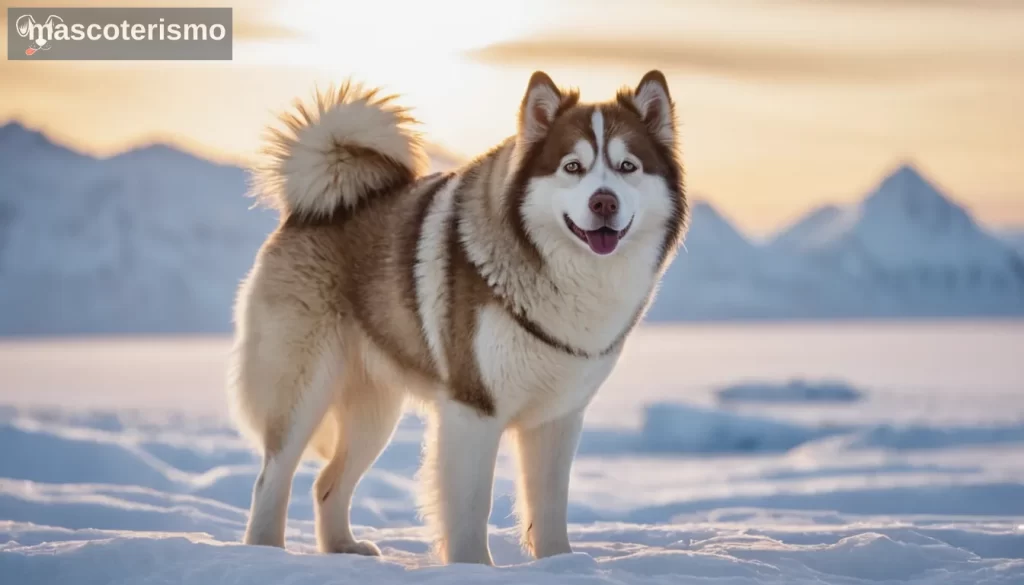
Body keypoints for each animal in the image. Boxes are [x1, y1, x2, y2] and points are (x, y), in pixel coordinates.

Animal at [230, 69, 688, 569]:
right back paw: (265, 554)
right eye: (572, 167)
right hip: (303, 386)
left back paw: (344, 549)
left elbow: (549, 503)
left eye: (628, 166)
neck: (563, 276)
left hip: (375, 410)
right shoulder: (473, 406)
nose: (604, 202)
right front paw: (475, 568)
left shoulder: (558, 417)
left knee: (327, 483)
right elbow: (470, 505)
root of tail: (316, 201)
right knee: (272, 477)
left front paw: (561, 564)